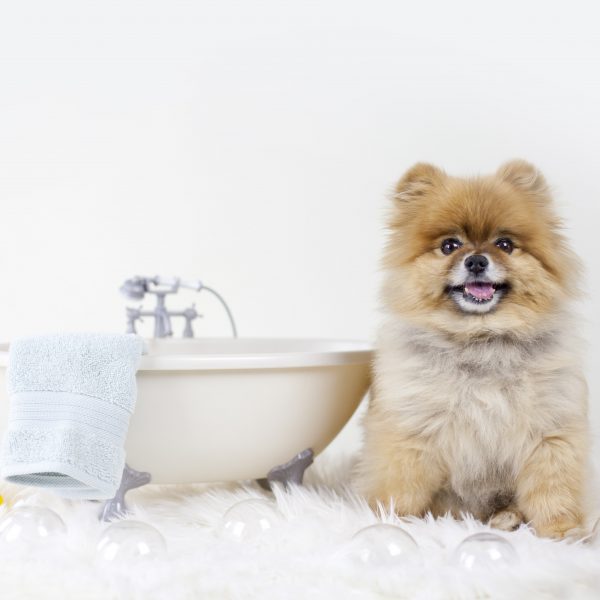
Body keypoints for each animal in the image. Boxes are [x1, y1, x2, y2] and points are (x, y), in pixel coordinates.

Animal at [354, 161, 588, 540]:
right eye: (449, 246)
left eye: (505, 244)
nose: (477, 261)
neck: (481, 340)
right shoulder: (413, 431)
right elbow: (403, 485)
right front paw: (392, 519)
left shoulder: (549, 431)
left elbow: (553, 488)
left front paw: (561, 530)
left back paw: (507, 518)